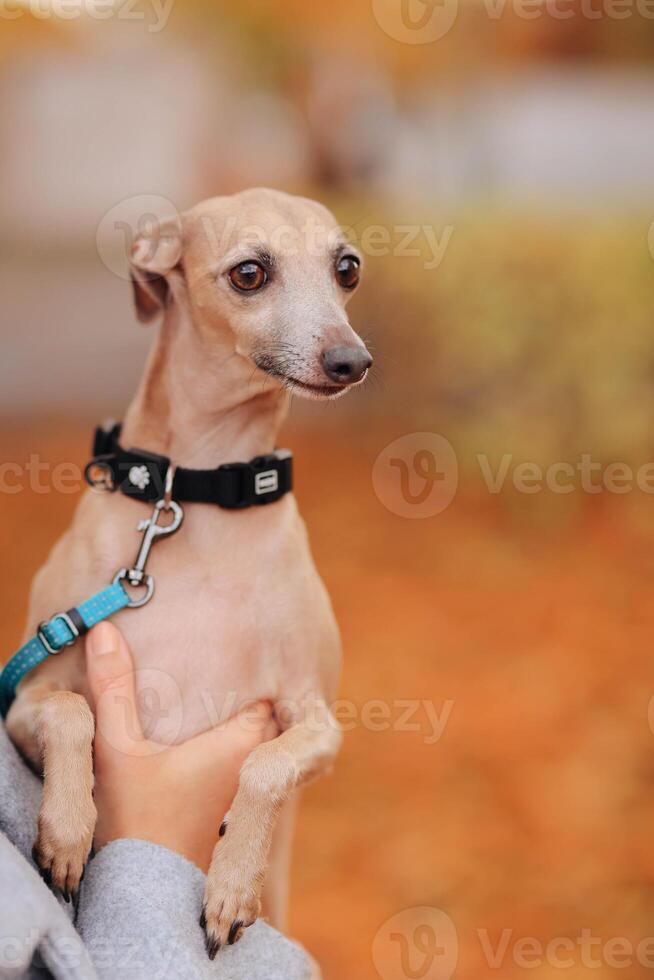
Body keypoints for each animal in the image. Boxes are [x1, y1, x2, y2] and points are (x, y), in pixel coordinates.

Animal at [6, 189, 374, 956]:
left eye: (348, 268)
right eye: (249, 273)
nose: (352, 360)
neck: (197, 491)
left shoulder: (318, 720)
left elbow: (265, 765)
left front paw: (232, 881)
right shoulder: (25, 697)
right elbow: (72, 711)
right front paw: (67, 829)